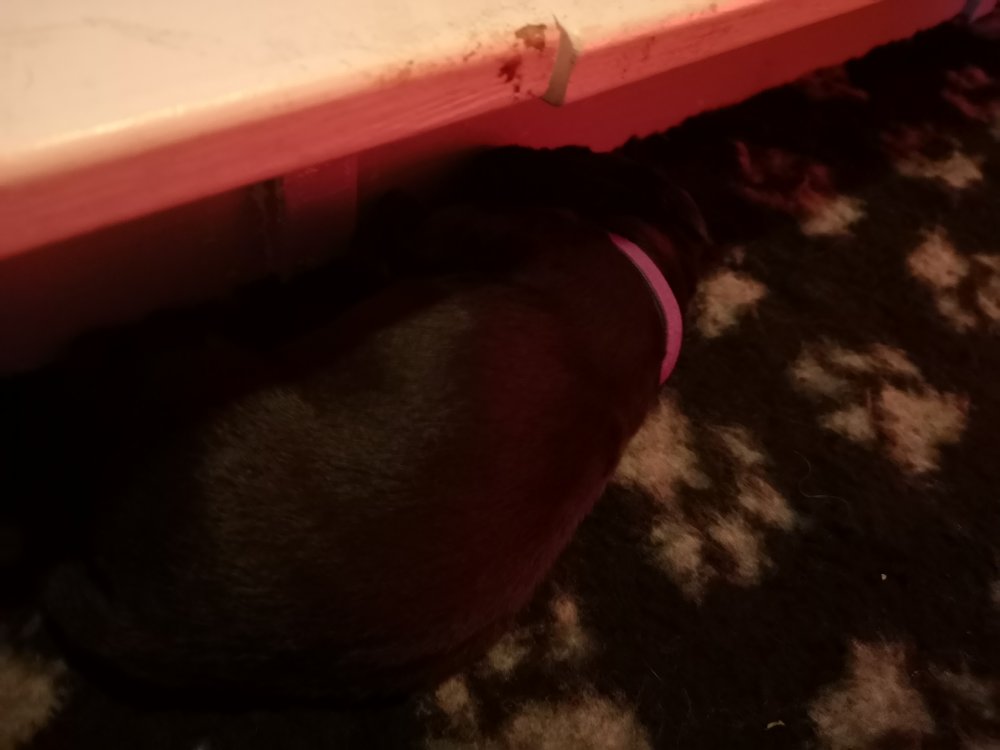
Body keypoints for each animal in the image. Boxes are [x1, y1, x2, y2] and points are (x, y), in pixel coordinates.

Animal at [34, 145, 712, 702]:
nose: (484, 152)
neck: (653, 270)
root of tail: (159, 632)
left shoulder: (472, 230)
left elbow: (409, 227)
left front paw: (390, 206)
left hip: (194, 368)